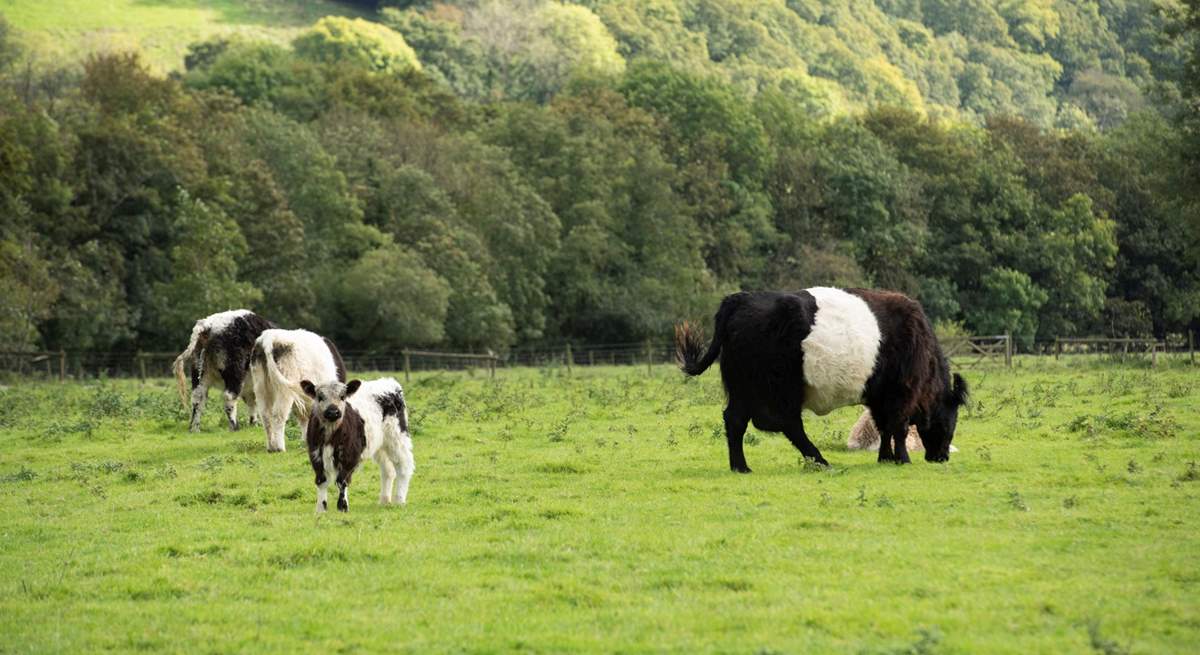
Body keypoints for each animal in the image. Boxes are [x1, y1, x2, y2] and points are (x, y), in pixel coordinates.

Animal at [298, 376, 412, 508]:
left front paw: (342, 507)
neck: (331, 435)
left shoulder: (350, 455)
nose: (333, 412)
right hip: (380, 445)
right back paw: (384, 500)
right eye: (320, 397)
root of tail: (390, 382)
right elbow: (321, 481)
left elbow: (342, 481)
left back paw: (399, 500)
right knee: (388, 470)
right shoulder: (315, 454)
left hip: (397, 438)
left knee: (403, 466)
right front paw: (321, 508)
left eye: (342, 397)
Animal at [676, 285, 964, 470]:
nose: (941, 458)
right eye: (951, 421)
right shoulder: (901, 393)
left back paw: (741, 466)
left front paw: (885, 458)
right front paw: (902, 459)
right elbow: (898, 428)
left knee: (736, 421)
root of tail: (741, 298)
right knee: (788, 425)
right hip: (777, 390)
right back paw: (819, 460)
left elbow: (884, 427)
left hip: (744, 389)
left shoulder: (879, 396)